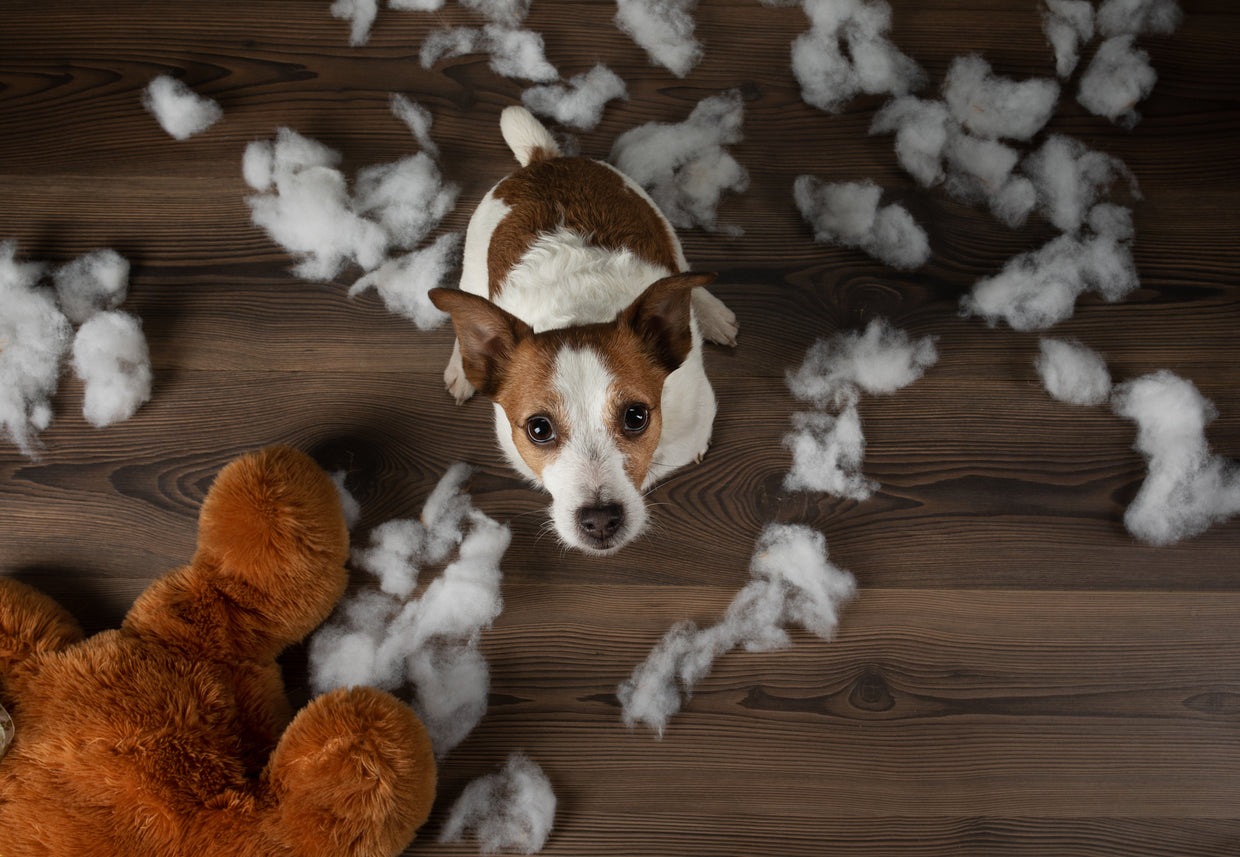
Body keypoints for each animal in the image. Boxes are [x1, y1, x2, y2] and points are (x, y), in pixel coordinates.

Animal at [426, 107, 734, 555]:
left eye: (636, 417)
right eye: (539, 429)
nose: (601, 520)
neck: (579, 314)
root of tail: (543, 161)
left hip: (663, 228)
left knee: (684, 271)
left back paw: (709, 311)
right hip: (472, 269)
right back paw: (461, 369)